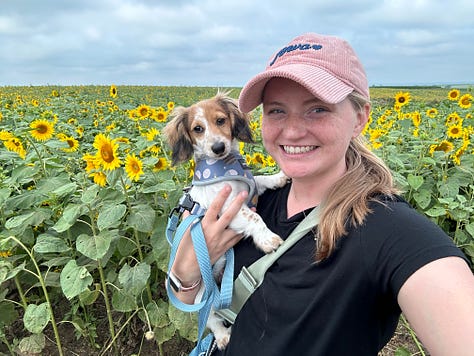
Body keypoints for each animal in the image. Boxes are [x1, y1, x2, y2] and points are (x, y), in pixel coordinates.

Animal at [163, 91, 288, 348]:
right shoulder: (228, 208)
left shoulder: (248, 188)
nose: (218, 147)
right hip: (203, 295)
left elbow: (259, 179)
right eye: (198, 129)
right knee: (210, 318)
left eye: (220, 120)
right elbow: (254, 217)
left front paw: (278, 177)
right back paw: (221, 336)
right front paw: (268, 239)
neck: (226, 166)